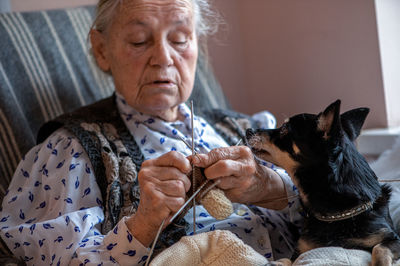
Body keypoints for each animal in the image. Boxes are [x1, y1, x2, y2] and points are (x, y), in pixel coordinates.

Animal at [247, 100, 400, 266]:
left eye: (284, 129)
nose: (248, 130)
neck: (338, 215)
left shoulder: (393, 238)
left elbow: (379, 248)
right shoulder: (302, 251)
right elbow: (288, 259)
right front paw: (276, 262)